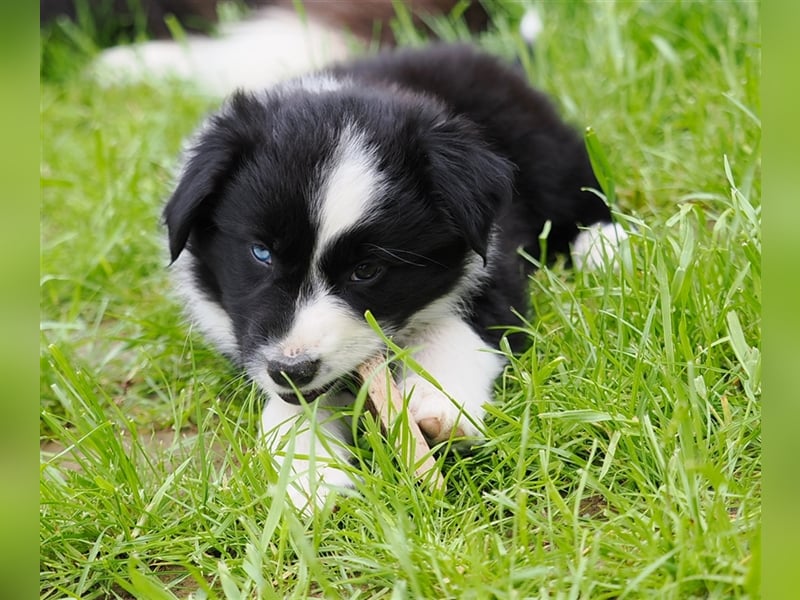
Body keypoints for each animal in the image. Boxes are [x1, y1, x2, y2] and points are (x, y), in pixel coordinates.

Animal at [162, 43, 624, 506]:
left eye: (366, 270)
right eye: (261, 253)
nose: (292, 369)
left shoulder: (495, 263)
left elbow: (457, 328)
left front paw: (441, 406)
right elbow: (296, 404)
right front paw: (307, 472)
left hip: (544, 148)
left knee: (579, 187)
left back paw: (606, 246)